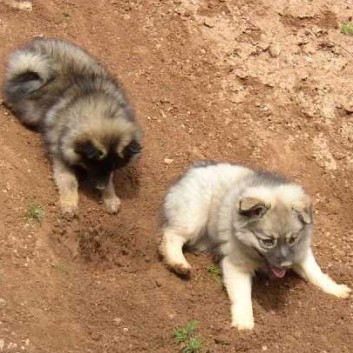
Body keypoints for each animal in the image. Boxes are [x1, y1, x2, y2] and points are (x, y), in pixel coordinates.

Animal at [2, 37, 141, 214]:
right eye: (93, 163)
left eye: (115, 166)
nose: (100, 187)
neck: (98, 108)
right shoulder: (59, 154)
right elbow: (68, 180)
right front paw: (69, 203)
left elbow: (110, 180)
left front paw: (110, 197)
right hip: (30, 107)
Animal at [159, 162, 350, 330]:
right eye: (267, 241)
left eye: (292, 239)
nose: (285, 265)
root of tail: (194, 169)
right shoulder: (236, 266)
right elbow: (243, 296)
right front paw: (244, 324)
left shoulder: (300, 252)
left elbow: (316, 273)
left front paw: (336, 289)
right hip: (194, 219)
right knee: (171, 235)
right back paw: (178, 263)